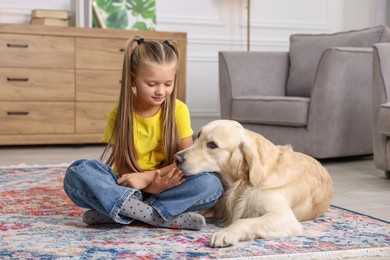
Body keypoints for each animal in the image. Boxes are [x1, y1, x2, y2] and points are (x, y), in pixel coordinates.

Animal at [174, 120, 332, 248]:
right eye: (198, 136)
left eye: (212, 145)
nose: (176, 158)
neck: (241, 183)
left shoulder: (285, 216)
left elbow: (244, 221)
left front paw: (224, 234)